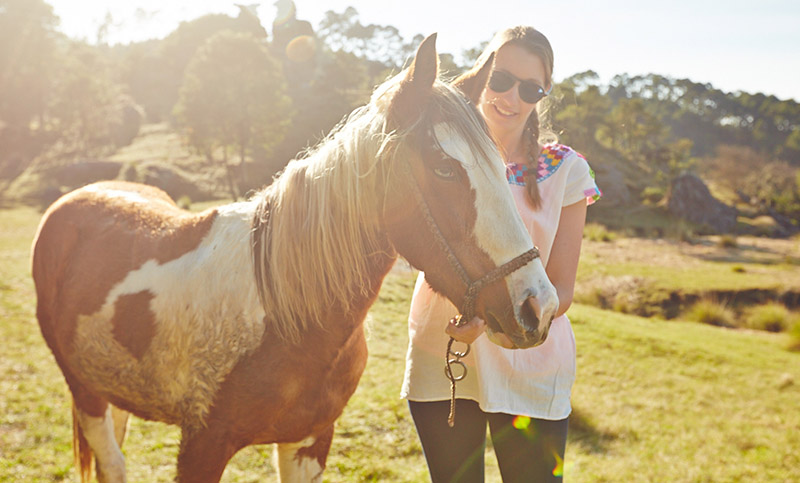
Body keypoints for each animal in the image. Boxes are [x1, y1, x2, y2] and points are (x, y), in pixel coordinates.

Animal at [29, 35, 556, 483]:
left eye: (501, 167)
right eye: (445, 168)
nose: (539, 307)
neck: (286, 315)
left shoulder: (309, 442)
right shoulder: (201, 447)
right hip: (84, 391)